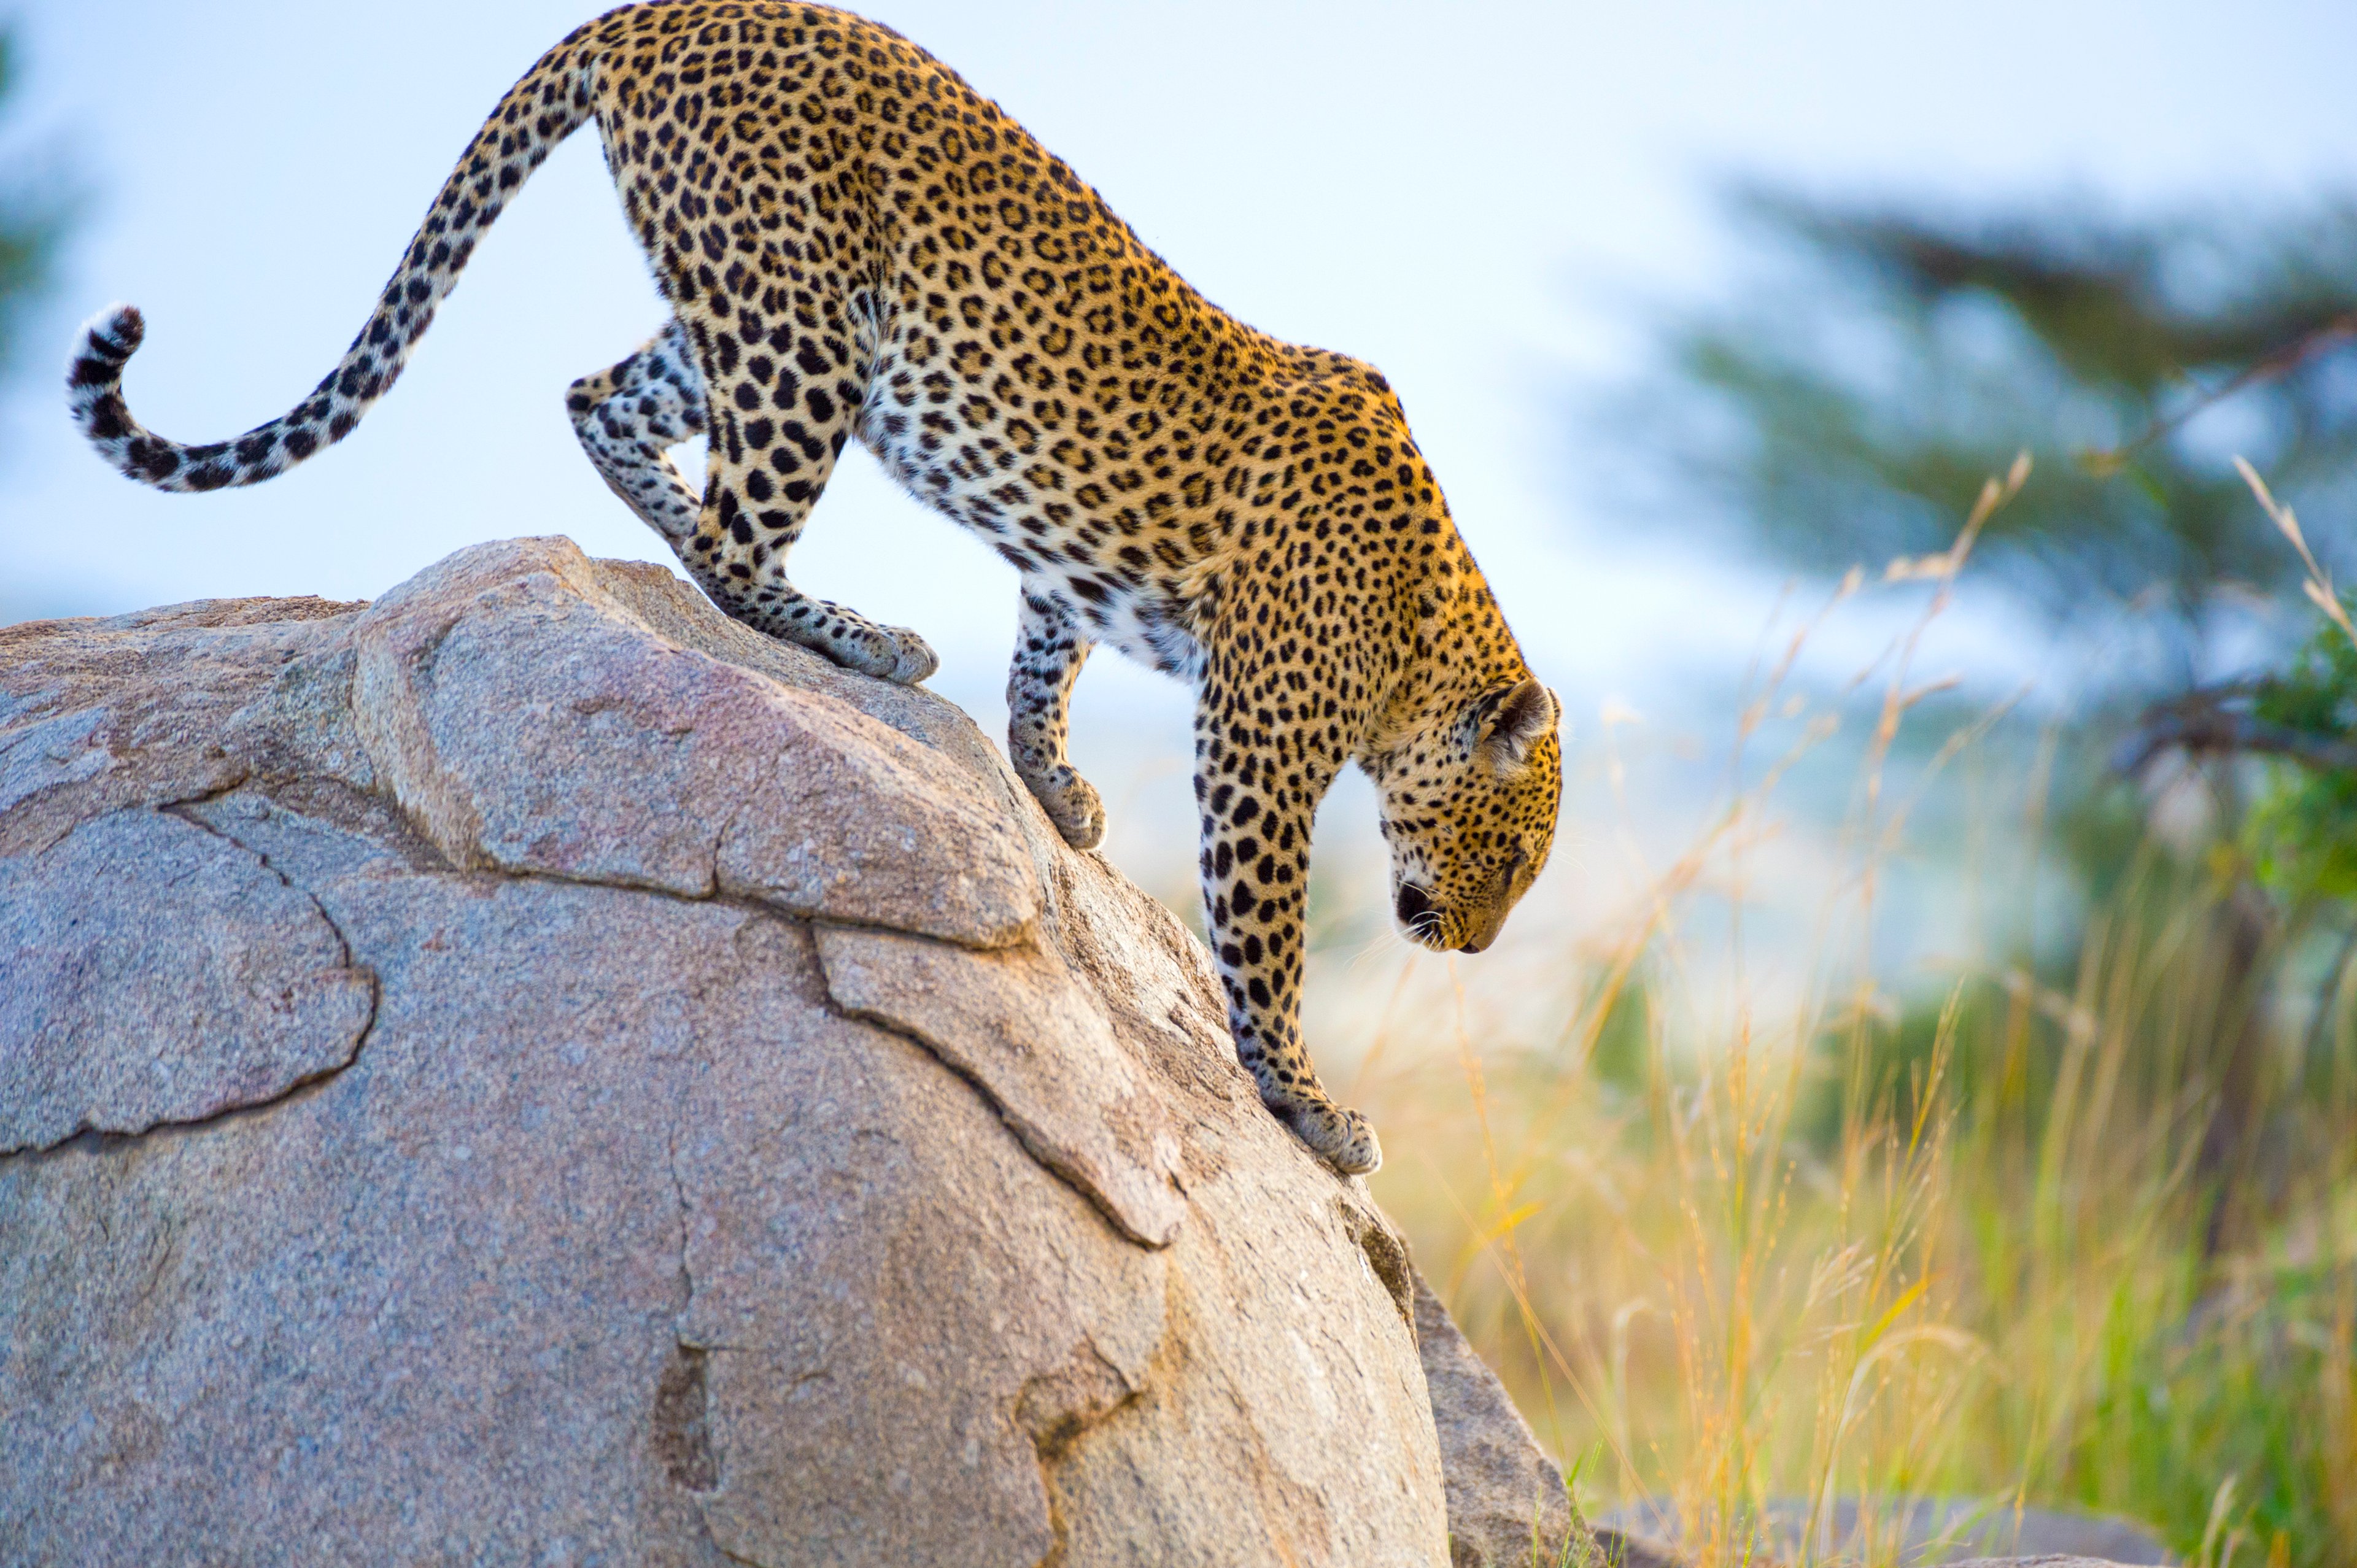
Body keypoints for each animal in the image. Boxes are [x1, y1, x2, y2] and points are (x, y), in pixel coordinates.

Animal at [66, 0, 1562, 1177]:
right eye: (1511, 859)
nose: (1478, 948)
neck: (1426, 630)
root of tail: (665, 12)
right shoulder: (1257, 749)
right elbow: (1266, 941)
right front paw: (1312, 1110)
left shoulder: (1077, 589)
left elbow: (1049, 653)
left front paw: (1056, 787)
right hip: (802, 332)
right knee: (734, 538)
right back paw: (854, 634)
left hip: (742, 309)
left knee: (599, 401)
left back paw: (703, 540)